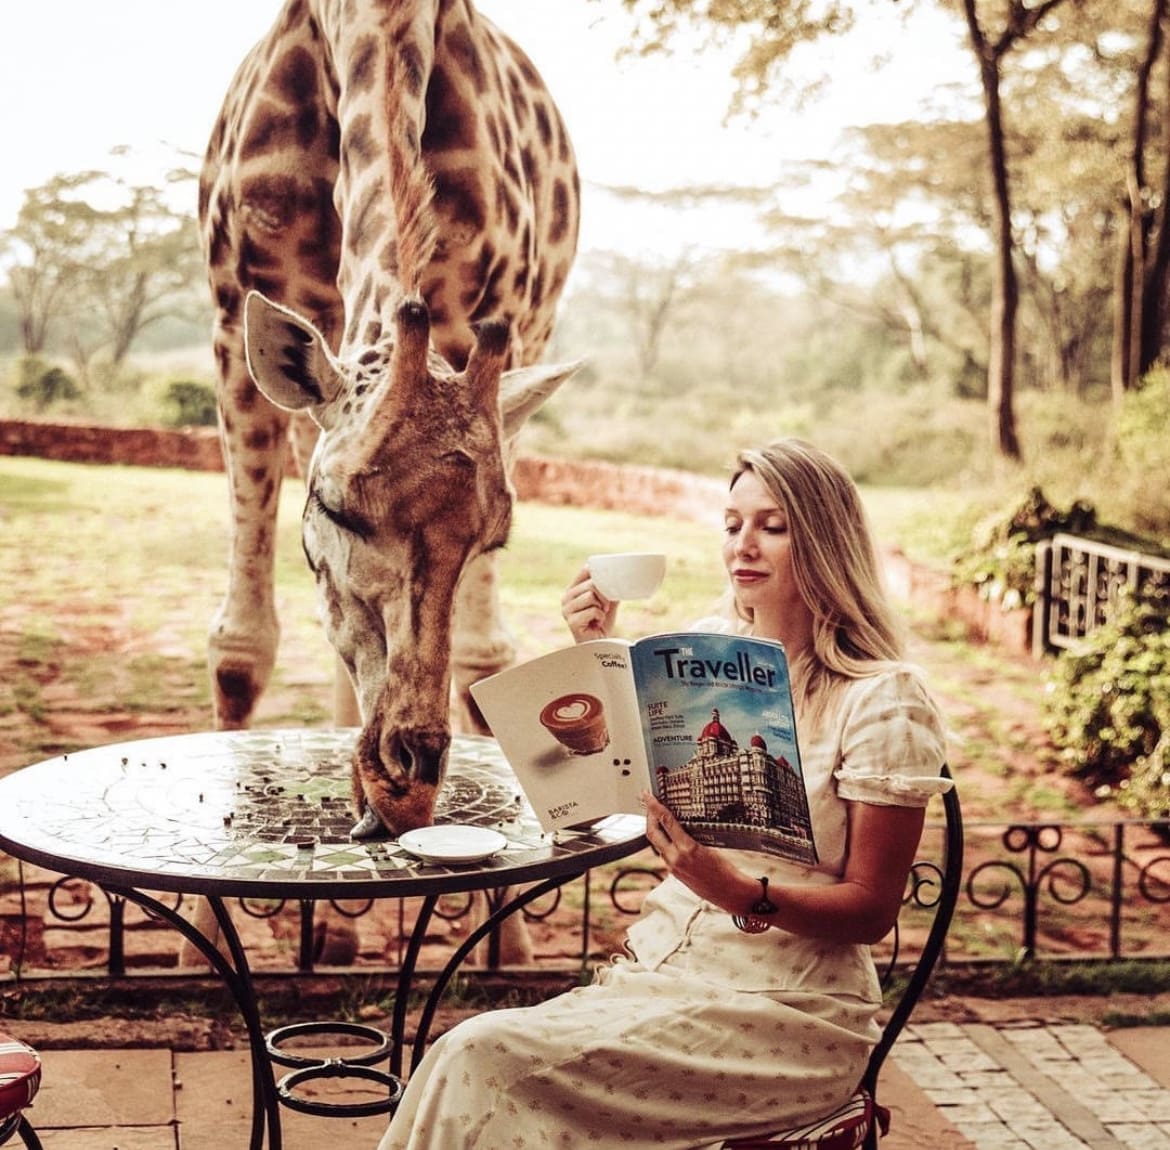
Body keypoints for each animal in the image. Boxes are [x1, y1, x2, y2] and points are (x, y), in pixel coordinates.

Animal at [202, 0, 585, 846]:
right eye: (333, 509)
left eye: (495, 537)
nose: (405, 788)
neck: (366, 24)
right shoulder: (233, 318)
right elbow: (241, 650)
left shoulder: (489, 319)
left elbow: (478, 653)